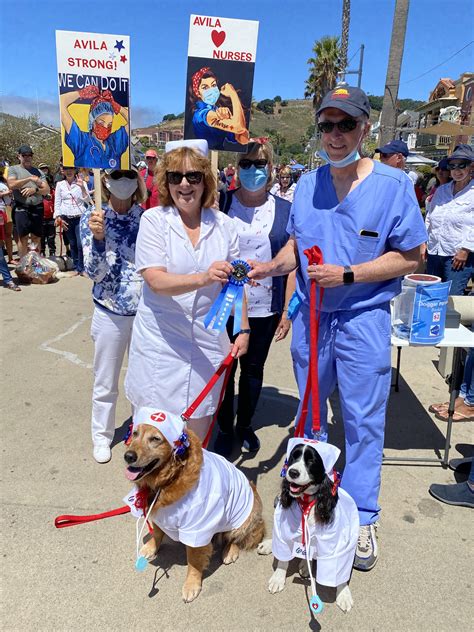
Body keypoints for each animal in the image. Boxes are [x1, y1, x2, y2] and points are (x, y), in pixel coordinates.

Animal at [124, 410, 264, 604]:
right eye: (135, 434)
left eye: (155, 439)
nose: (128, 456)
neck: (171, 477)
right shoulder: (160, 513)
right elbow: (158, 533)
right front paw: (151, 547)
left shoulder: (197, 527)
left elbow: (193, 561)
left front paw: (191, 585)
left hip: (244, 517)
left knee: (236, 537)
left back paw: (230, 551)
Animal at [260, 440, 360, 612]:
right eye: (293, 457)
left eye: (312, 461)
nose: (292, 472)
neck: (308, 500)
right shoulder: (285, 528)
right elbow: (283, 558)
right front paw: (278, 578)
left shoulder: (338, 541)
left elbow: (339, 567)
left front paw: (344, 594)